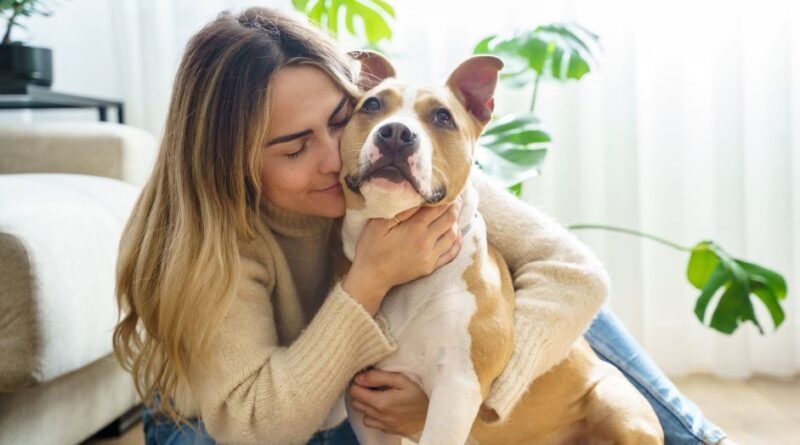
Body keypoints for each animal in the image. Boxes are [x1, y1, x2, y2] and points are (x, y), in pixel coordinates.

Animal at [338, 50, 664, 444]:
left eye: (442, 117)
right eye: (372, 105)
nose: (397, 133)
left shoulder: (457, 388)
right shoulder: (364, 399)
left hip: (615, 407)